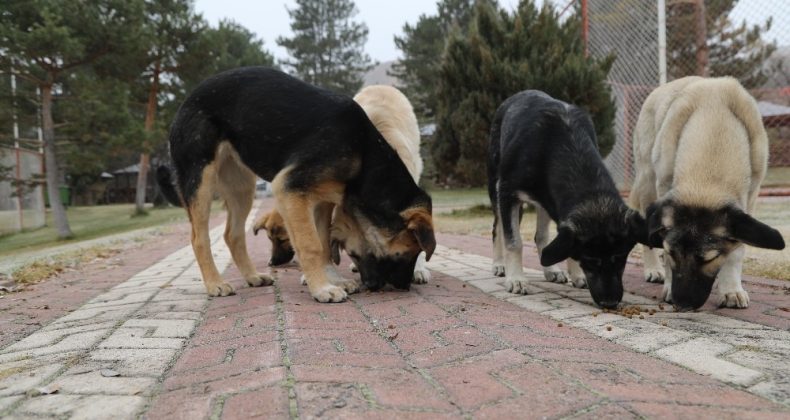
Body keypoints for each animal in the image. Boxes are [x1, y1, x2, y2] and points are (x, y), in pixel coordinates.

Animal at [488, 90, 648, 308]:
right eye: (590, 261)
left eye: (621, 258)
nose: (610, 302)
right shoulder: (507, 193)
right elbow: (514, 242)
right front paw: (516, 279)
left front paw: (576, 274)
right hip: (495, 186)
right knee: (497, 229)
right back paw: (499, 265)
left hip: (544, 202)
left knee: (541, 236)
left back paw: (551, 270)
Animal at [632, 77, 784, 310]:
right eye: (672, 252)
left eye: (709, 259)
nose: (683, 305)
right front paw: (668, 285)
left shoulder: (749, 198)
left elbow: (736, 250)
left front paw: (731, 289)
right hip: (646, 182)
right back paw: (653, 269)